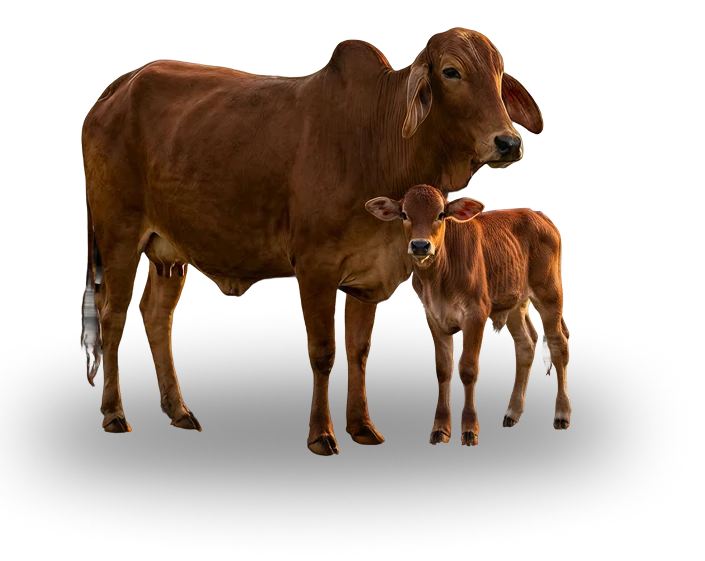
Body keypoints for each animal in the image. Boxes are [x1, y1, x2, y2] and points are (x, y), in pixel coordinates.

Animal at [79, 27, 544, 456]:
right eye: (451, 72)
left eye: (500, 74)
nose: (508, 142)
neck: (377, 145)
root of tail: (119, 88)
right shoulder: (315, 268)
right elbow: (324, 353)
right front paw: (322, 434)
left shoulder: (367, 277)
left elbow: (358, 351)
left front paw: (362, 427)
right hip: (119, 235)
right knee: (112, 317)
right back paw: (114, 414)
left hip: (168, 250)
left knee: (156, 316)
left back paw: (178, 411)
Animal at [365, 184, 570, 447]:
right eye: (404, 214)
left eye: (441, 214)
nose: (420, 246)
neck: (438, 280)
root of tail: (538, 215)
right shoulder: (434, 317)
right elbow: (444, 369)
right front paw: (441, 429)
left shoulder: (476, 313)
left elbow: (468, 369)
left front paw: (470, 429)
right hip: (514, 301)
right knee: (526, 345)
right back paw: (512, 412)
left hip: (549, 293)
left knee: (558, 344)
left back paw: (562, 414)